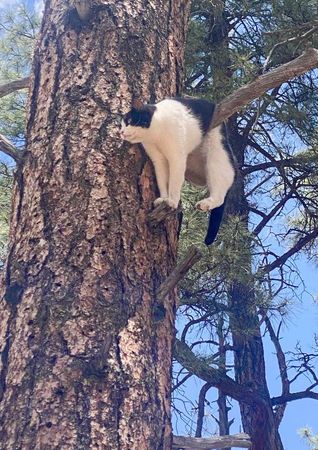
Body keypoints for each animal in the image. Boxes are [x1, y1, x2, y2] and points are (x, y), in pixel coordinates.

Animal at [120, 97, 235, 244]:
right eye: (121, 125)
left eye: (129, 121)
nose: (121, 132)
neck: (156, 134)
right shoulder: (159, 161)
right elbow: (163, 181)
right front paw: (163, 199)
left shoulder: (177, 158)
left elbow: (174, 183)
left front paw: (172, 202)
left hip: (217, 156)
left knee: (221, 193)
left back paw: (205, 204)